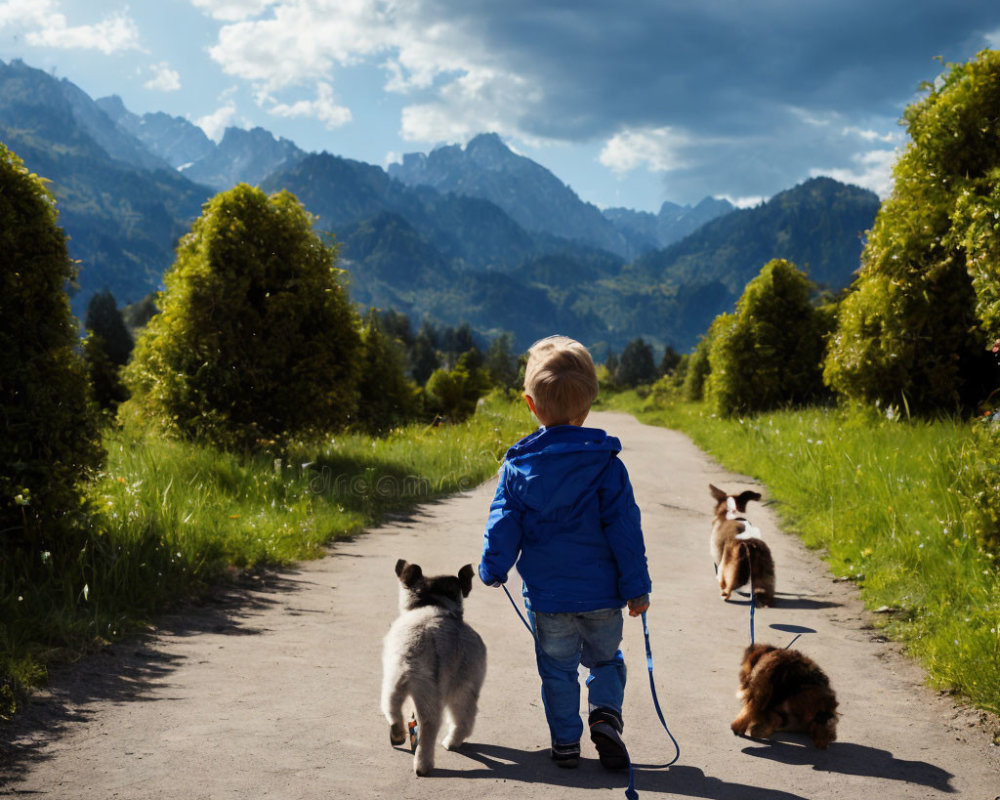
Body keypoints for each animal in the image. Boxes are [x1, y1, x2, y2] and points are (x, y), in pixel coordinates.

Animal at [380, 556, 486, 776]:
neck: (436, 606)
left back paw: (415, 752)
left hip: (402, 684)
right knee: (457, 721)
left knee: (400, 714)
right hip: (458, 689)